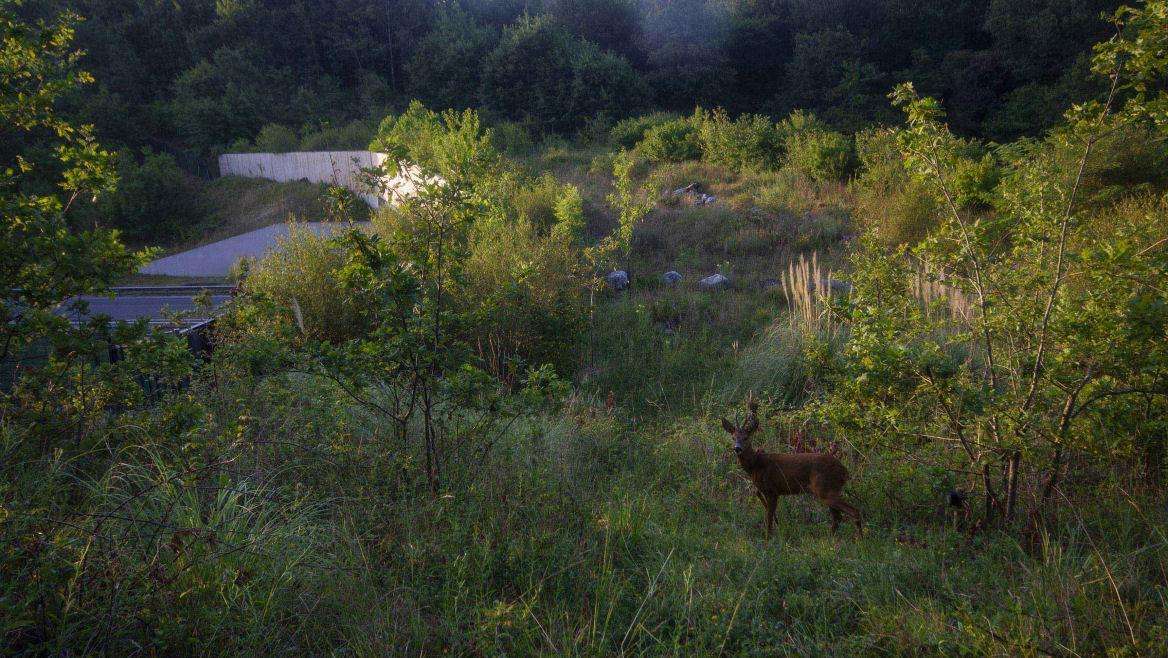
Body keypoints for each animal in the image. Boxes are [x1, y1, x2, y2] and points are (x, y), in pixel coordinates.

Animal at [719, 399, 868, 537]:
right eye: (733, 437)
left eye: (746, 437)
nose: (737, 448)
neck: (756, 465)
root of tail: (844, 470)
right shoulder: (768, 492)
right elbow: (771, 515)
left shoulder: (772, 490)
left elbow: (768, 519)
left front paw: (768, 539)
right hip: (829, 490)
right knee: (837, 517)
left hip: (825, 488)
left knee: (853, 511)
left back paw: (859, 539)